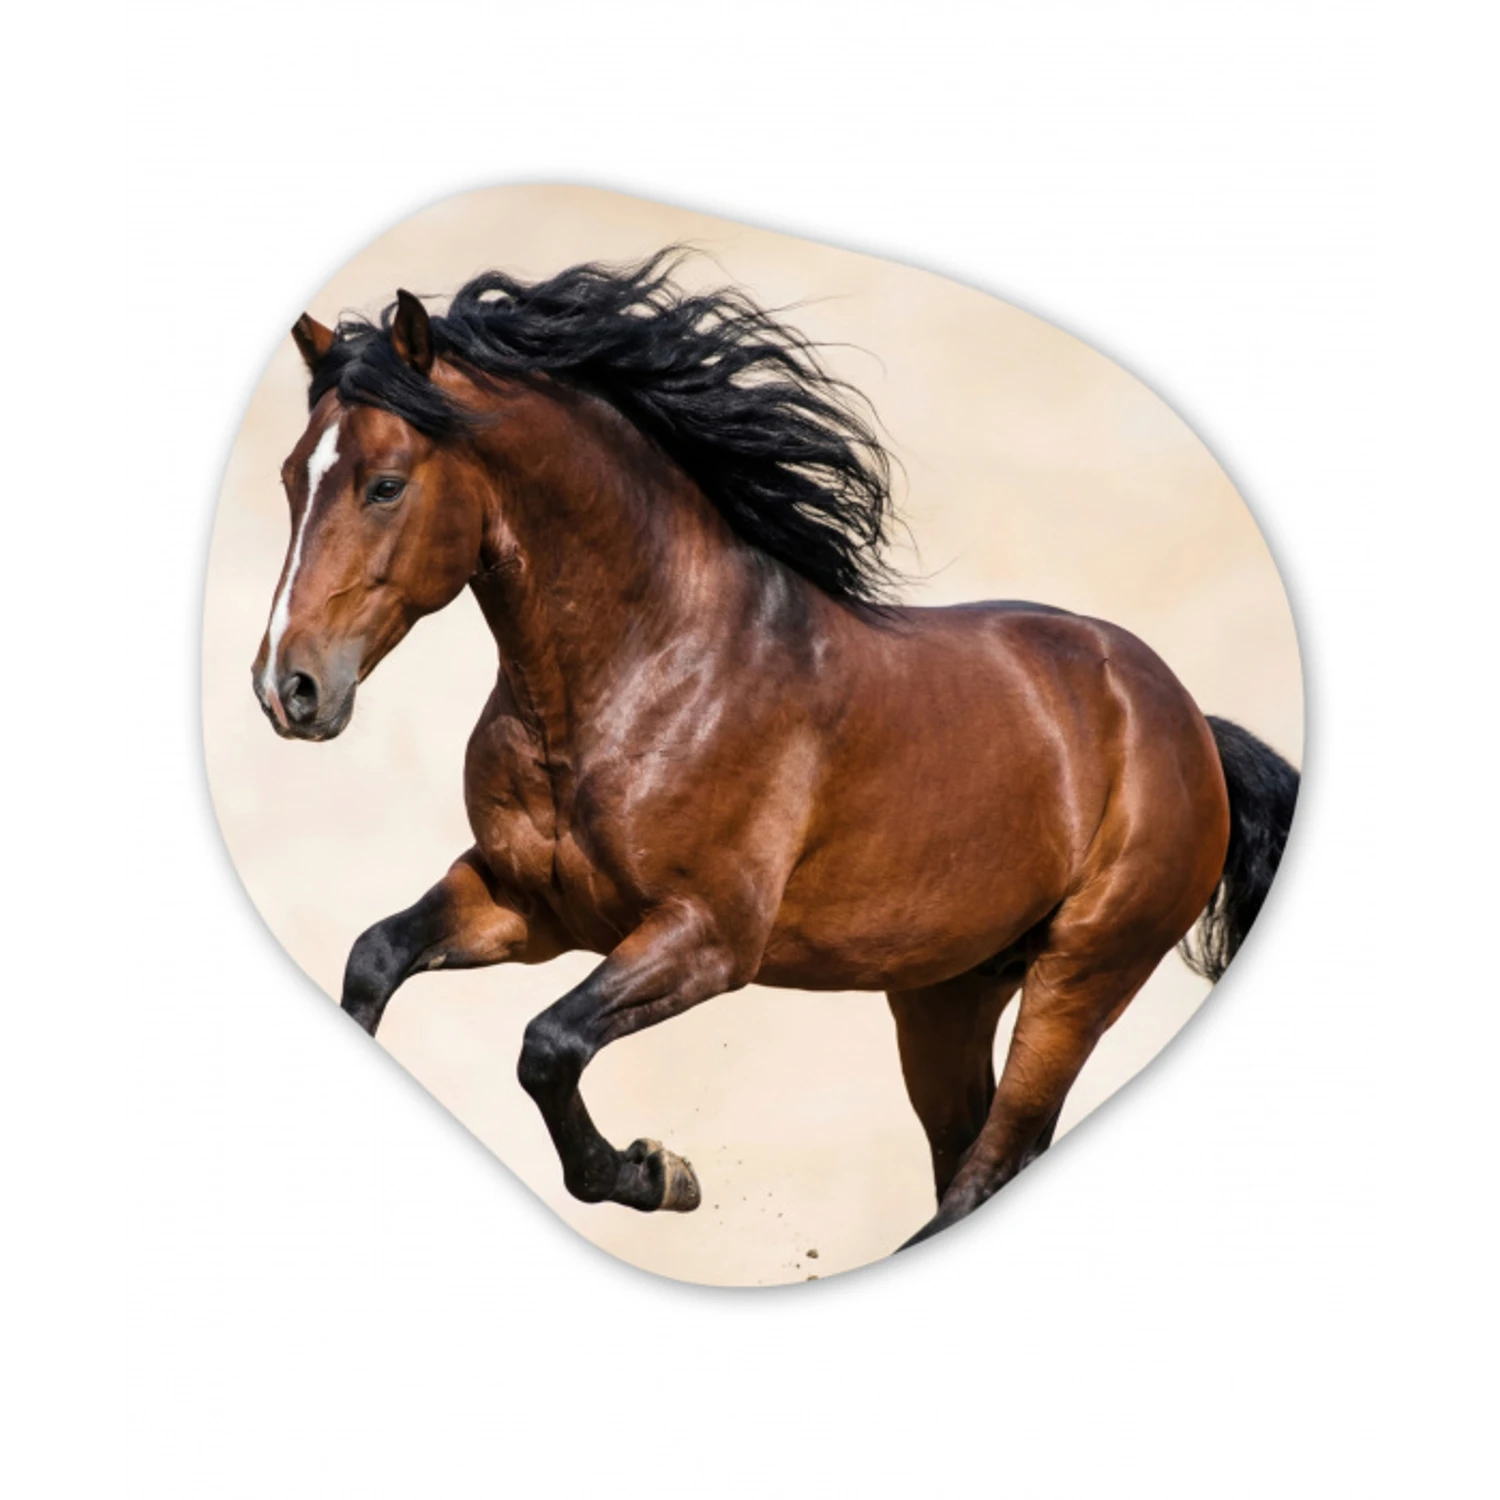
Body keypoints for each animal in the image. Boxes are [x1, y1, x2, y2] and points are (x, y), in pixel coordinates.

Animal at [252, 252, 1299, 1250]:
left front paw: (658, 1175)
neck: (642, 670)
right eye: (292, 477)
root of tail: (1189, 723)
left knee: (990, 1165)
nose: (286, 689)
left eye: (386, 485)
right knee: (974, 1155)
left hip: (1081, 975)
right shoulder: (526, 904)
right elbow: (376, 959)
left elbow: (547, 1045)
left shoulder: (709, 936)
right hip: (946, 992)